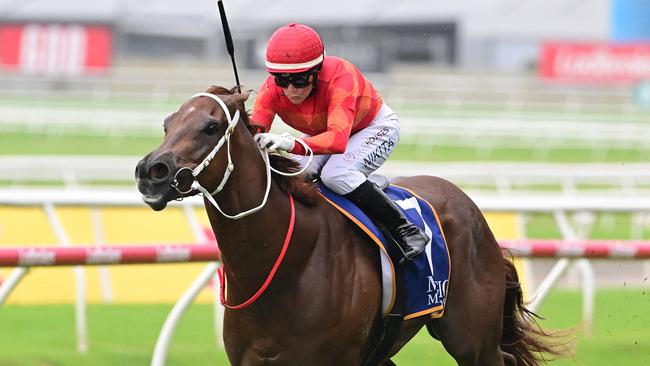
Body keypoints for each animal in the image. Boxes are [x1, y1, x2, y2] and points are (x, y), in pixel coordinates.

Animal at [137, 85, 560, 364]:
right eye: (167, 123)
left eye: (210, 127)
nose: (151, 172)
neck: (284, 261)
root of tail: (471, 207)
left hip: (472, 339)